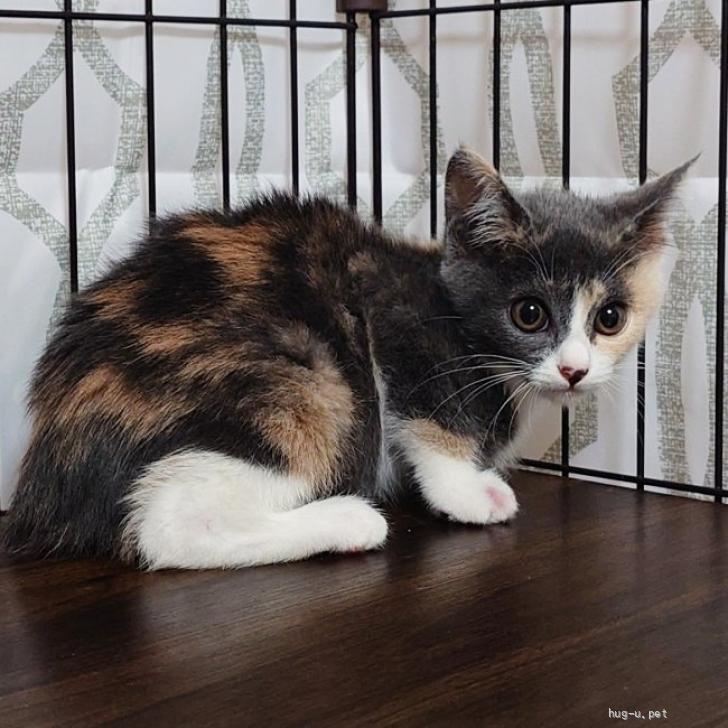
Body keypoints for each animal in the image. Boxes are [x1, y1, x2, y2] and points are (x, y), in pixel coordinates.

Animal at [2, 147, 691, 569]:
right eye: (529, 314)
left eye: (610, 319)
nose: (574, 370)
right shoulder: (391, 317)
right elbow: (428, 421)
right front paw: (468, 491)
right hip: (311, 387)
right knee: (167, 525)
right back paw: (347, 521)